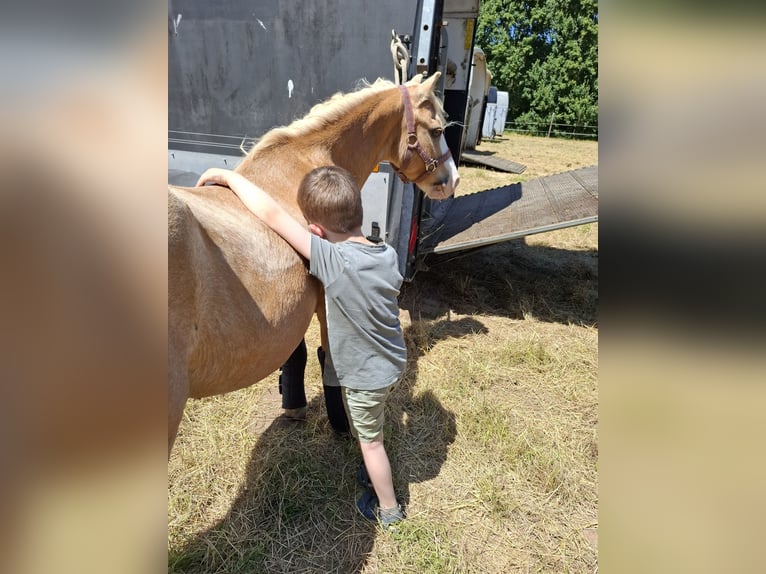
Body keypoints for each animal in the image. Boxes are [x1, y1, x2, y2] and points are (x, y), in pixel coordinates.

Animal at [168, 71, 459, 453]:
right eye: (437, 129)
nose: (453, 180)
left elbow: (296, 353)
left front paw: (294, 405)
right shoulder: (325, 302)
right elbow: (329, 360)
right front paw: (341, 424)